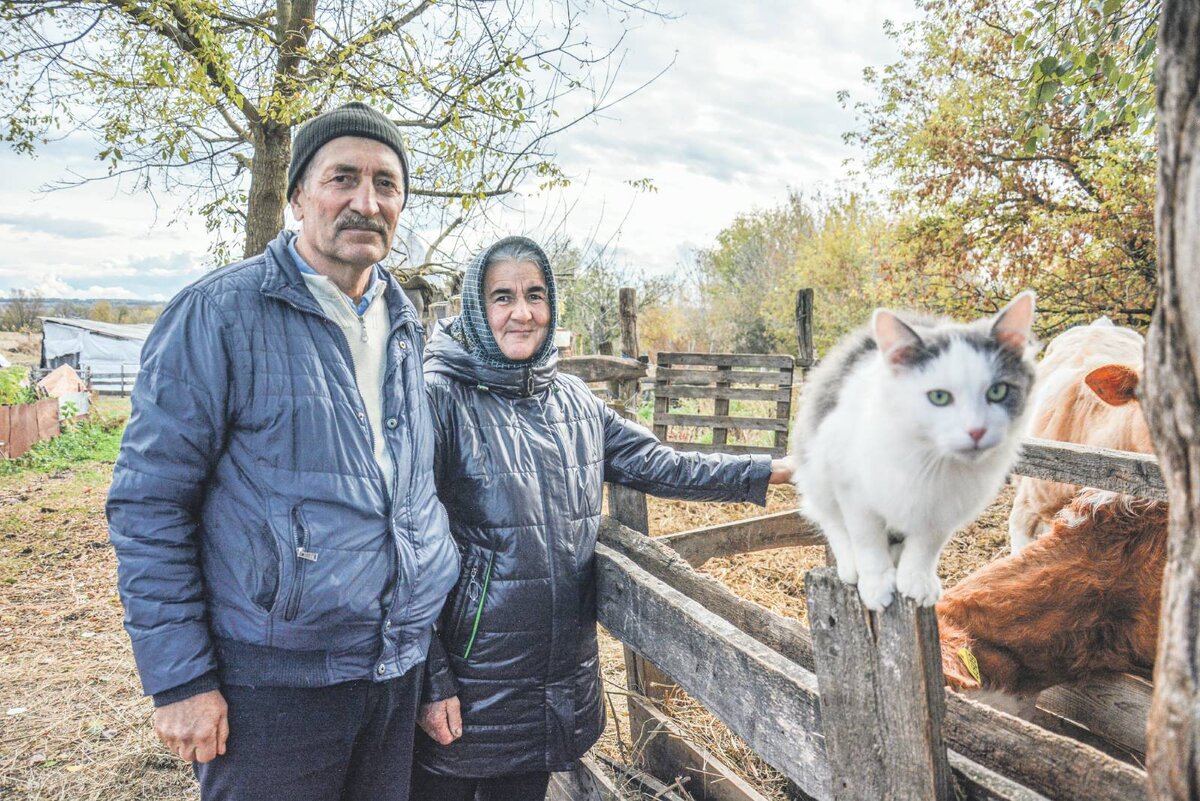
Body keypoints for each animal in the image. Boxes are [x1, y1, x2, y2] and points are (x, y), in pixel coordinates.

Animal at [792, 291, 1036, 609]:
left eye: (997, 392)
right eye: (939, 397)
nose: (976, 431)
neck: (930, 461)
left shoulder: (943, 508)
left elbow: (925, 545)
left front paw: (916, 581)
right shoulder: (853, 490)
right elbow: (866, 539)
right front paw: (877, 584)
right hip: (817, 475)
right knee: (832, 522)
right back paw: (850, 567)